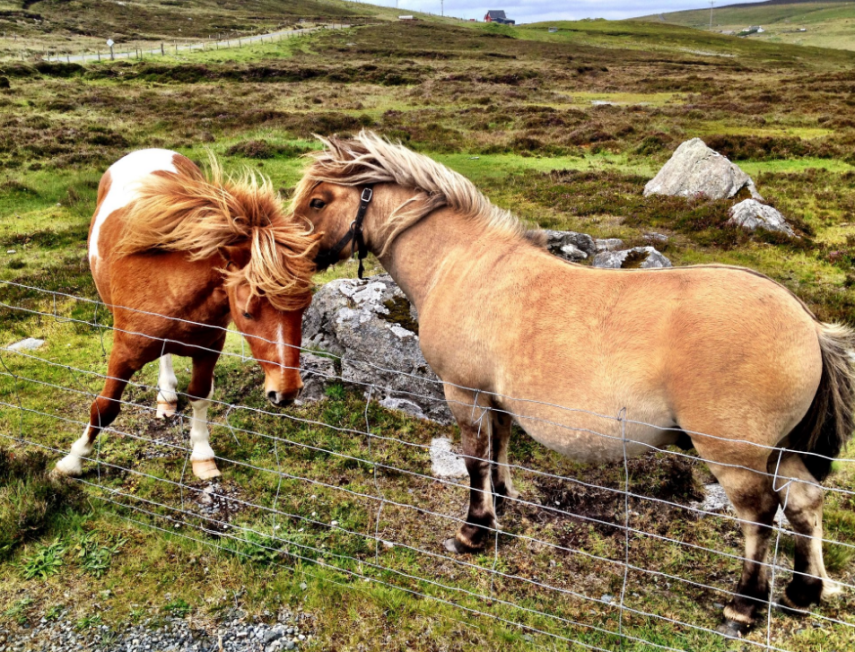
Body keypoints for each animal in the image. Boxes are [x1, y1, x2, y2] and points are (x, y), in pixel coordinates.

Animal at [55, 150, 320, 482]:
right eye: (247, 313)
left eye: (304, 308)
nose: (285, 391)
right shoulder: (123, 354)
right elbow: (105, 407)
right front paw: (71, 462)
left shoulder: (208, 351)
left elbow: (200, 396)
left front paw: (202, 457)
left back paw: (167, 395)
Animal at [294, 130, 855, 636]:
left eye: (318, 201)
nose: (289, 262)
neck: (462, 262)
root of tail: (808, 324)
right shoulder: (496, 398)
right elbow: (499, 450)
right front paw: (503, 504)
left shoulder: (465, 393)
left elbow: (475, 461)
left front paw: (473, 533)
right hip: (781, 450)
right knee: (804, 504)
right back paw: (803, 591)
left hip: (736, 456)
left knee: (760, 517)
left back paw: (744, 606)